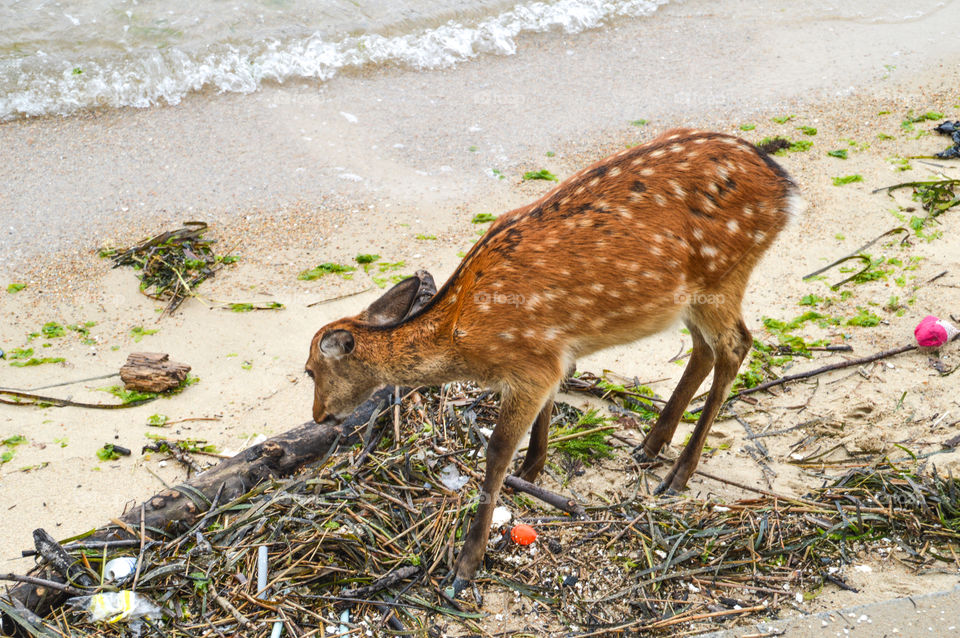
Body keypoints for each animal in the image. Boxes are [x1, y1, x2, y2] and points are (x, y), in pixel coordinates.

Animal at [305, 128, 805, 596]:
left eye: (310, 370)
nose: (319, 415)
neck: (462, 332)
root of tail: (786, 186)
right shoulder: (550, 352)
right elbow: (546, 410)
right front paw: (531, 472)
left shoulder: (531, 362)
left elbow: (497, 450)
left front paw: (466, 565)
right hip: (694, 296)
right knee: (704, 349)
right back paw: (650, 445)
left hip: (723, 275)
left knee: (737, 345)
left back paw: (679, 473)